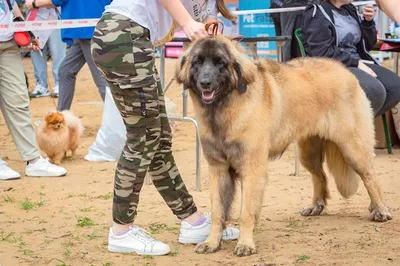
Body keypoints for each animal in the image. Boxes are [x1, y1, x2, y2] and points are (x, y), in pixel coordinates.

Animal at [174, 35, 390, 256]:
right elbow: (218, 211)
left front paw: (245, 244)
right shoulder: (219, 168)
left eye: (220, 63)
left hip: (352, 147)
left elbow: (246, 212)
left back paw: (380, 209)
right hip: (308, 152)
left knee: (370, 176)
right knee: (320, 176)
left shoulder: (252, 168)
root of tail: (346, 71)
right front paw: (211, 242)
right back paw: (316, 206)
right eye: (198, 62)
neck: (224, 107)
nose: (205, 83)